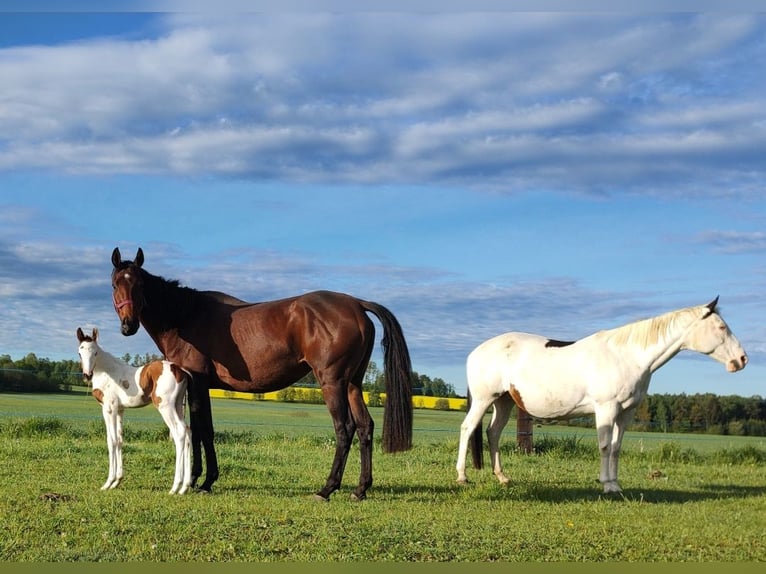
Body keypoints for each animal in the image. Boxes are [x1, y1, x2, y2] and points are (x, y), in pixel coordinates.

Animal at [76, 328, 194, 496]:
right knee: (188, 431)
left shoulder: (109, 408)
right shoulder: (120, 410)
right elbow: (120, 440)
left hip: (166, 407)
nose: (87, 375)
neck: (106, 371)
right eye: (80, 352)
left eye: (95, 352)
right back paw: (185, 486)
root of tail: (180, 369)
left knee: (179, 434)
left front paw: (108, 483)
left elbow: (111, 441)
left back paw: (175, 487)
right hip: (178, 405)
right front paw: (117, 481)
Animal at [109, 250, 414, 502]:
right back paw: (360, 489)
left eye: (139, 284)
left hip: (332, 383)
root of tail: (356, 305)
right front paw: (206, 479)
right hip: (353, 384)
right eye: (115, 284)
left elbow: (200, 431)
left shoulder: (197, 381)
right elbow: (205, 429)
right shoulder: (202, 386)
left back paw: (327, 489)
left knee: (345, 429)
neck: (186, 316)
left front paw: (199, 480)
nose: (128, 326)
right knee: (365, 427)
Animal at [460, 296, 748, 496]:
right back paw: (462, 476)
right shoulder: (606, 409)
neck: (628, 356)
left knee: (493, 433)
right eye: (721, 327)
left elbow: (617, 448)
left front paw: (615, 484)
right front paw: (607, 486)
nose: (742, 359)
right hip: (485, 399)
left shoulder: (626, 413)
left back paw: (502, 477)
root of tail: (475, 352)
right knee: (467, 428)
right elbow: (605, 446)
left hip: (504, 402)